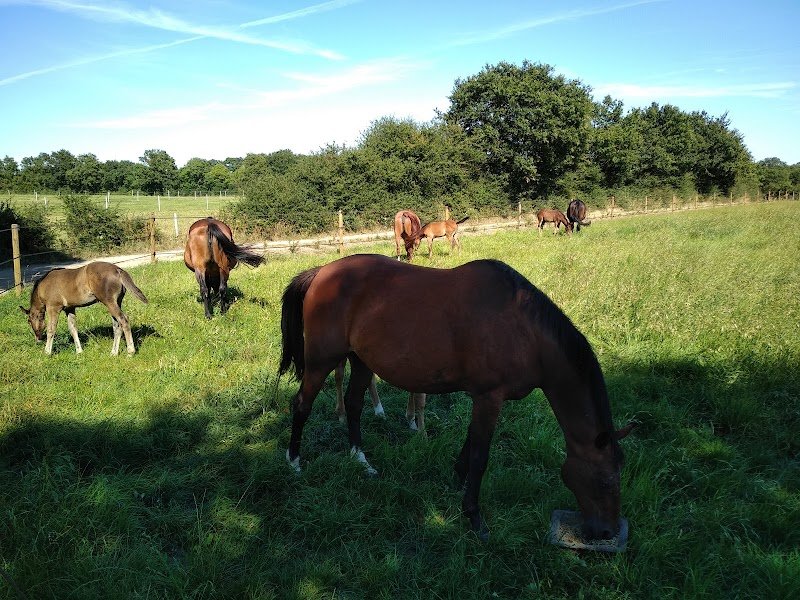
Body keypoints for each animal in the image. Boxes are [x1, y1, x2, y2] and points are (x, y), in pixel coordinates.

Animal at [279, 254, 634, 541]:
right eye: (605, 481)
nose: (607, 532)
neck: (524, 330)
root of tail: (321, 272)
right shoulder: (490, 397)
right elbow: (480, 456)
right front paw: (474, 517)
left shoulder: (482, 398)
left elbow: (470, 443)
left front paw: (456, 480)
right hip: (322, 360)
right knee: (302, 405)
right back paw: (294, 462)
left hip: (361, 360)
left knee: (354, 405)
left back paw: (361, 461)